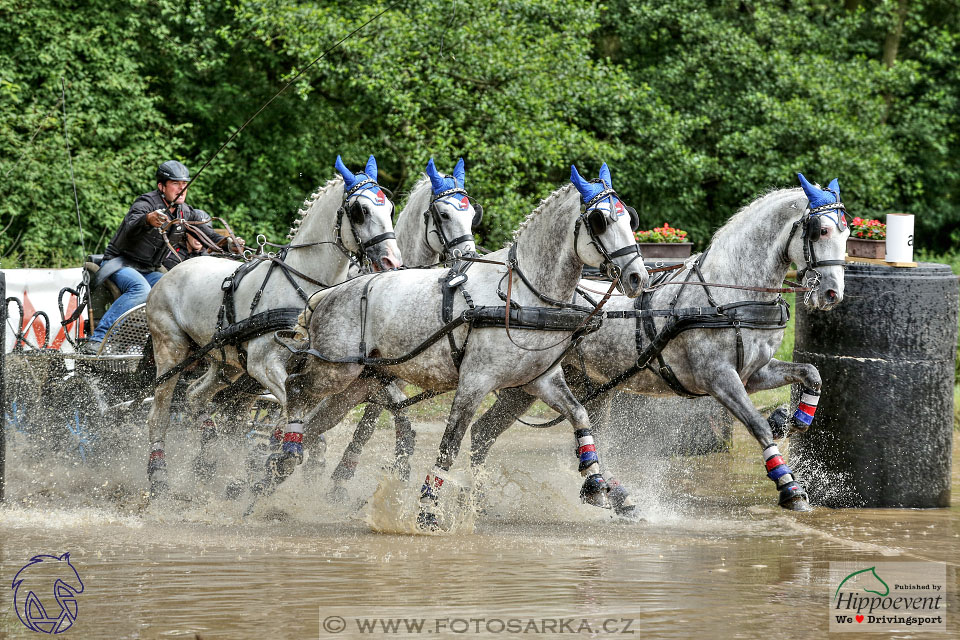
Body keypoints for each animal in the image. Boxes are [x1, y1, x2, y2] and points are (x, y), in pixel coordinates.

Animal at [143, 158, 402, 498]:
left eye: (391, 209)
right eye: (360, 210)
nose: (392, 261)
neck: (305, 287)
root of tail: (173, 271)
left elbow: (299, 418)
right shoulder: (263, 365)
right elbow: (289, 408)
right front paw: (275, 460)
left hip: (226, 363)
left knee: (197, 396)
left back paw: (208, 458)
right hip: (171, 351)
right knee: (159, 413)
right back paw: (159, 475)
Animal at [260, 162, 644, 528]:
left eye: (629, 217)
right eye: (600, 220)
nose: (638, 276)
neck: (520, 295)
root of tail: (325, 294)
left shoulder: (540, 381)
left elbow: (579, 415)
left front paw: (596, 484)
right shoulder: (474, 382)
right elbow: (450, 444)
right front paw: (427, 510)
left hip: (355, 386)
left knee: (313, 425)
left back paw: (270, 476)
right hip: (334, 370)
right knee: (295, 389)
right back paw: (281, 458)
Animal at [468, 172, 852, 512]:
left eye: (846, 231)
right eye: (820, 230)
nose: (832, 293)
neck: (727, 295)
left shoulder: (753, 373)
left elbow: (811, 372)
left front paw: (791, 420)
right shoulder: (719, 378)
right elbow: (756, 425)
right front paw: (790, 487)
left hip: (568, 384)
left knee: (490, 432)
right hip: (524, 382)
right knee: (482, 433)